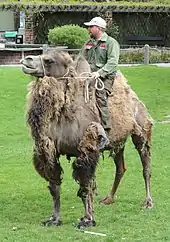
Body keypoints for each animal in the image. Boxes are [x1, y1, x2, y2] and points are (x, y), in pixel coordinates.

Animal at [20, 50, 153, 228]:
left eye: (48, 60)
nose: (27, 60)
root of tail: (135, 97)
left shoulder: (87, 150)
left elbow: (85, 186)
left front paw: (88, 219)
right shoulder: (49, 152)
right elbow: (54, 187)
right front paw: (54, 219)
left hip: (141, 131)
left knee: (145, 164)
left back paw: (148, 201)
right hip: (117, 142)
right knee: (120, 168)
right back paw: (108, 198)